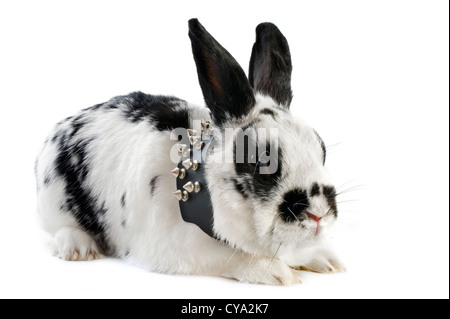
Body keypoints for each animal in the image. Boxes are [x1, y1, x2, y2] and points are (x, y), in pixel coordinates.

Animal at [35, 18, 344, 286]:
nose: (318, 215)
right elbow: (230, 257)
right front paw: (277, 273)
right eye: (259, 162)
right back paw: (79, 249)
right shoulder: (179, 248)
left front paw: (326, 261)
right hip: (54, 203)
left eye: (322, 151)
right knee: (60, 229)